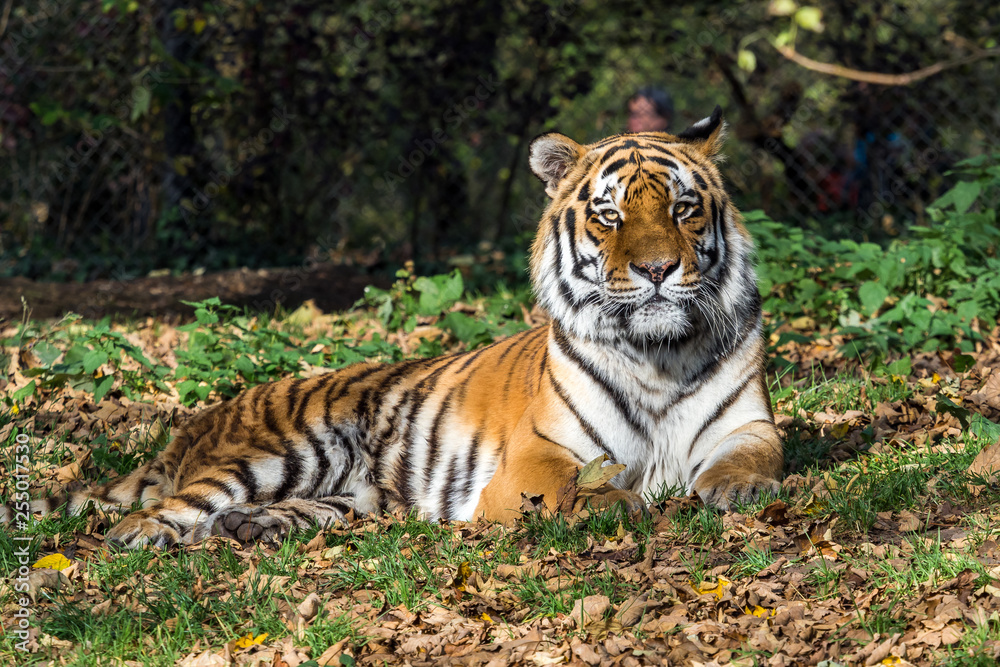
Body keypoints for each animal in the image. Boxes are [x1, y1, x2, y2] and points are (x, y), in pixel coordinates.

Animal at [0, 108, 780, 548]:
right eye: (610, 214)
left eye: (682, 208)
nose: (657, 269)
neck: (658, 354)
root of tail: (204, 418)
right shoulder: (539, 456)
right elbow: (577, 490)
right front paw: (620, 502)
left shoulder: (750, 424)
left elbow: (753, 459)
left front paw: (738, 490)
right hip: (278, 452)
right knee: (164, 509)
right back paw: (144, 537)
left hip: (355, 490)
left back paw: (257, 526)